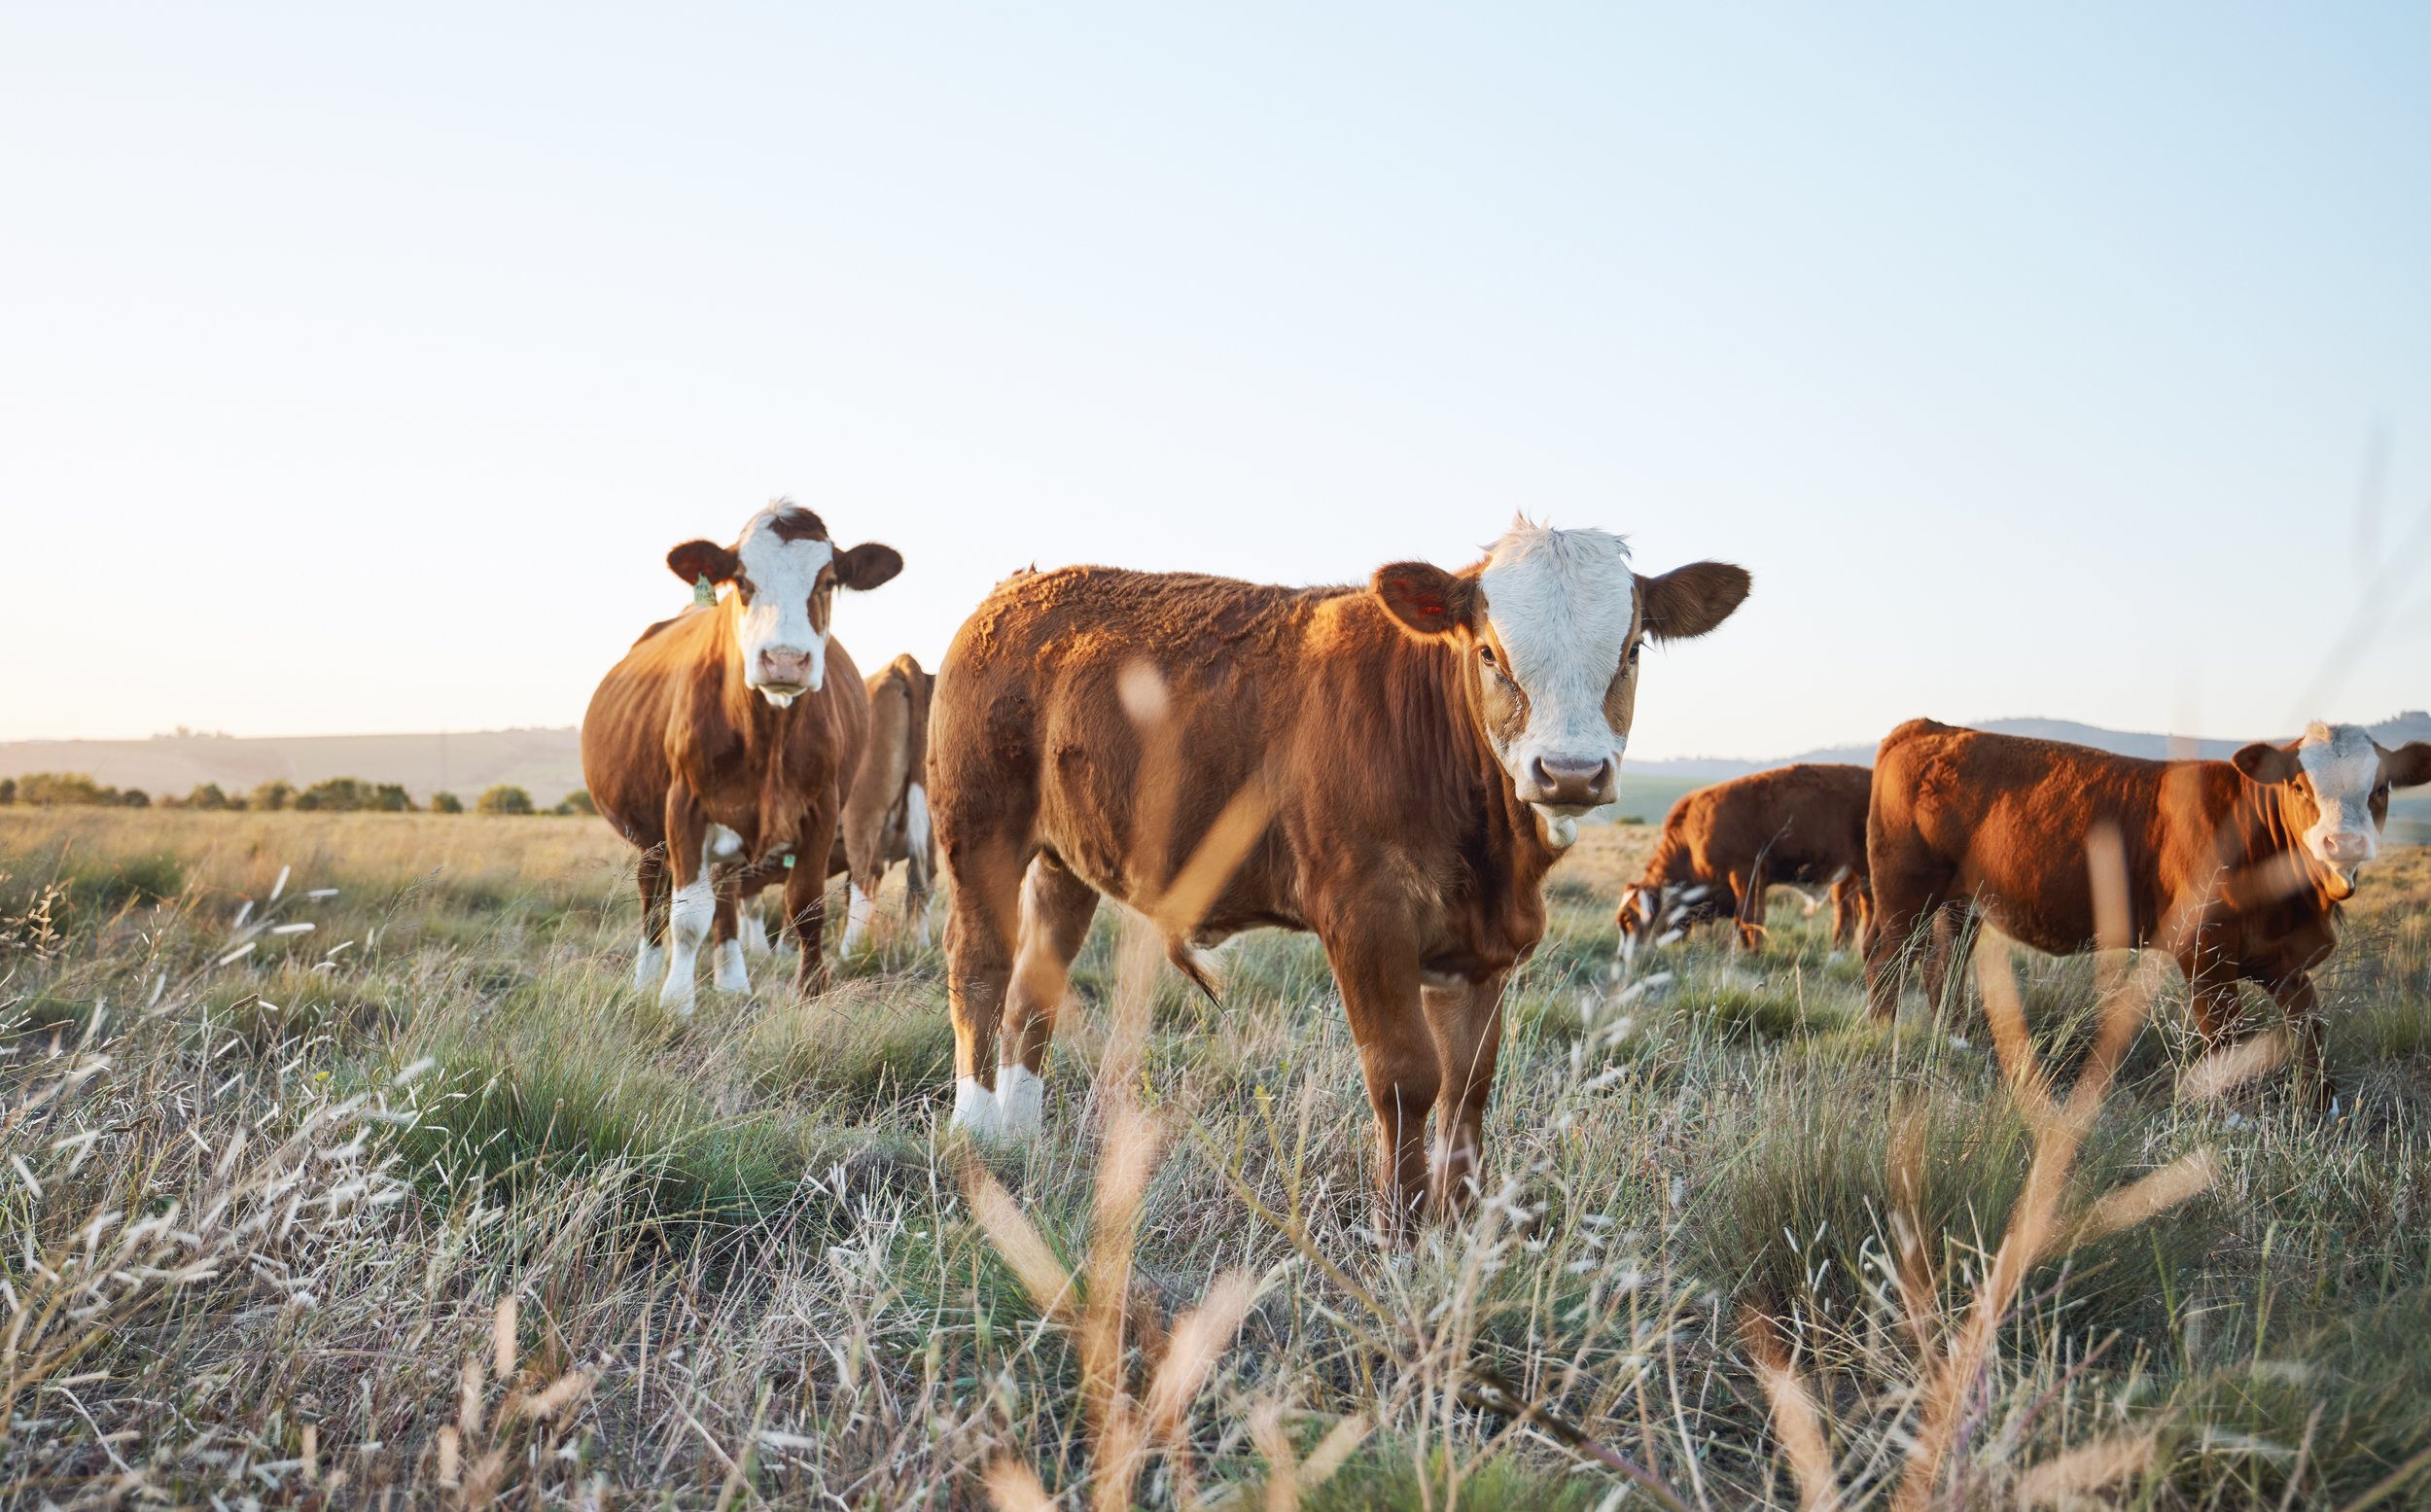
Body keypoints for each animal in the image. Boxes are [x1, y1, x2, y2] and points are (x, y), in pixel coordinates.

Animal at [581, 502, 903, 1011]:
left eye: (828, 581)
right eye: (742, 581)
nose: (785, 659)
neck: (768, 736)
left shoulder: (823, 806)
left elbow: (806, 905)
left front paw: (811, 992)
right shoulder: (684, 805)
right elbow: (689, 914)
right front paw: (676, 1001)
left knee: (727, 893)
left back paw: (733, 979)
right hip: (648, 831)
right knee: (653, 896)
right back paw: (646, 978)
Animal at [730, 653, 937, 958]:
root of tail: (899, 665)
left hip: (862, 816)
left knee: (867, 879)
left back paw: (847, 953)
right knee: (921, 885)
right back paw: (919, 946)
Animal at [928, 520, 1748, 1226]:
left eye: (1631, 648)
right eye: (1490, 651)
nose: (1571, 770)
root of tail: (1017, 589)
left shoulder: (1481, 951)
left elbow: (1469, 1084)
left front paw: (1455, 1225)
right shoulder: (1366, 918)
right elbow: (1407, 1074)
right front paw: (1402, 1231)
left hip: (1062, 860)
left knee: (1035, 991)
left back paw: (1021, 1137)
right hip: (979, 831)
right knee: (980, 968)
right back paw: (977, 1135)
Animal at [1616, 763, 1873, 952]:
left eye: (1629, 919)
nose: (1624, 957)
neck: (1690, 841)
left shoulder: (1746, 874)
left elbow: (1748, 918)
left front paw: (1750, 954)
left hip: (1867, 873)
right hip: (1848, 875)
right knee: (1847, 916)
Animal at [1863, 718, 2431, 1094]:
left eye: (2381, 788)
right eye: (2298, 785)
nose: (2345, 844)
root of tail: (1928, 727)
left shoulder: (2281, 956)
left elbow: (2310, 1028)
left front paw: (2321, 1105)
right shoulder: (2204, 950)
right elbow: (2223, 1033)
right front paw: (2236, 1119)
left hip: (1961, 904)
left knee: (1943, 965)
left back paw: (1954, 1042)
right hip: (1905, 894)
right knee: (1886, 963)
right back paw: (1883, 1038)